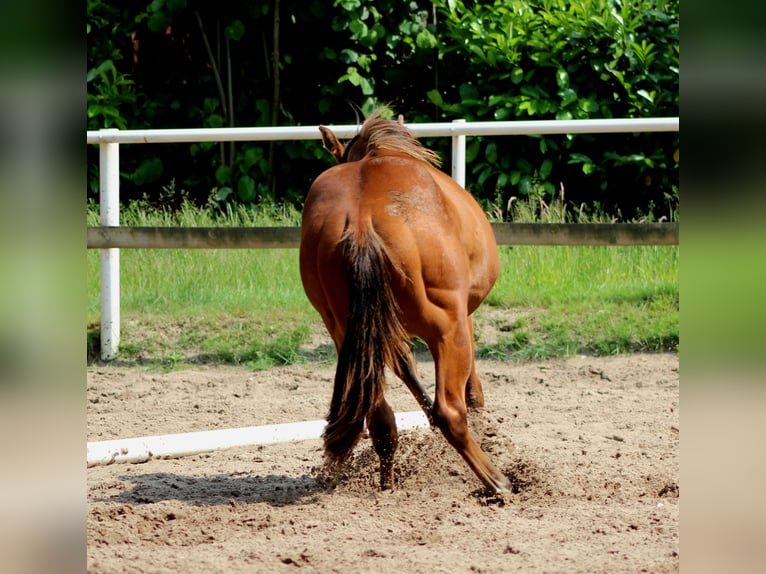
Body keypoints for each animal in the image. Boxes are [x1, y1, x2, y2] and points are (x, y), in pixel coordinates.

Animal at [299, 108, 510, 494]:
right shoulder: (463, 317)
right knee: (450, 411)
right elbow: (470, 389)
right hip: (447, 328)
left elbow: (406, 373)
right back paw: (498, 481)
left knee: (380, 418)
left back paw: (387, 483)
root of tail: (362, 222)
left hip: (346, 331)